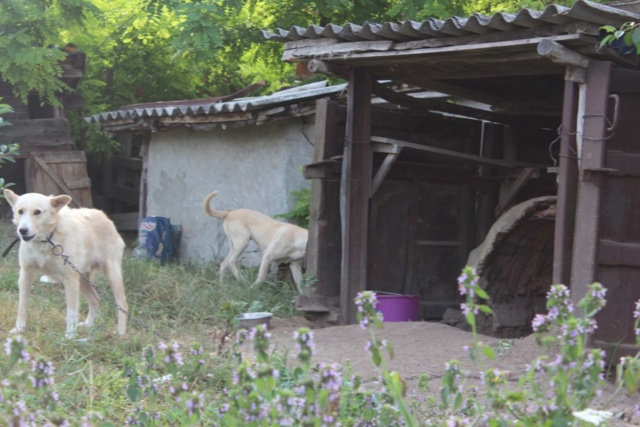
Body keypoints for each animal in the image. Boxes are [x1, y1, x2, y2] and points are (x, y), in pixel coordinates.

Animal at [3, 191, 128, 338]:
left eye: (37, 212)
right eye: (20, 211)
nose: (22, 230)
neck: (47, 239)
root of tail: (103, 215)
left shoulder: (70, 279)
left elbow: (72, 311)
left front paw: (70, 335)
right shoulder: (25, 275)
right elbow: (22, 306)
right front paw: (19, 329)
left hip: (111, 274)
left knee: (122, 304)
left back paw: (121, 332)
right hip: (82, 279)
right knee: (95, 299)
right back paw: (88, 325)